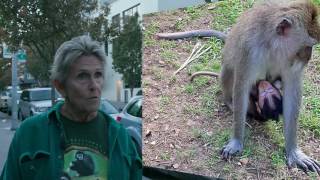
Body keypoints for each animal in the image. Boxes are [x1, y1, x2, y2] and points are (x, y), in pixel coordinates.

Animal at [219, 0, 320, 174]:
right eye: (308, 45)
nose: (308, 58)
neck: (272, 45)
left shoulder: (290, 62)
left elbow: (291, 90)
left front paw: (294, 152)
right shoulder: (249, 51)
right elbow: (241, 86)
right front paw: (236, 141)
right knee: (230, 70)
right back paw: (230, 103)